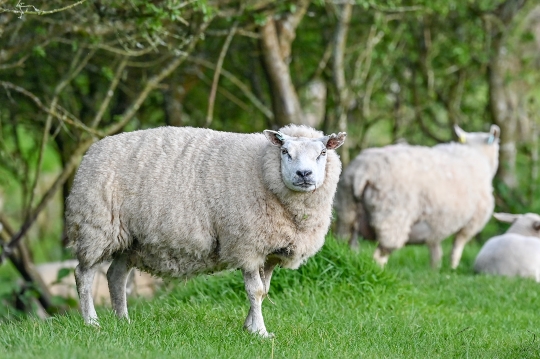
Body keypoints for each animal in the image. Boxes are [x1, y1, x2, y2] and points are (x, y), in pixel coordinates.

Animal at [66, 124, 346, 338]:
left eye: (322, 152)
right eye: (285, 151)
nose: (304, 174)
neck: (262, 171)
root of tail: (93, 151)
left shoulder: (270, 252)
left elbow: (264, 291)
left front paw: (249, 326)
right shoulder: (247, 245)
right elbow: (255, 291)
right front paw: (259, 332)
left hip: (131, 239)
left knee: (115, 276)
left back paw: (123, 320)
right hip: (96, 226)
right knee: (83, 275)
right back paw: (92, 322)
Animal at [336, 126, 500, 270]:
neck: (477, 154)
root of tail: (362, 171)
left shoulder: (437, 223)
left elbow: (435, 248)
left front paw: (434, 270)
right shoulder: (472, 222)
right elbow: (457, 247)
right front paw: (452, 268)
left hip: (346, 210)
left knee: (346, 241)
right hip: (392, 217)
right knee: (380, 255)